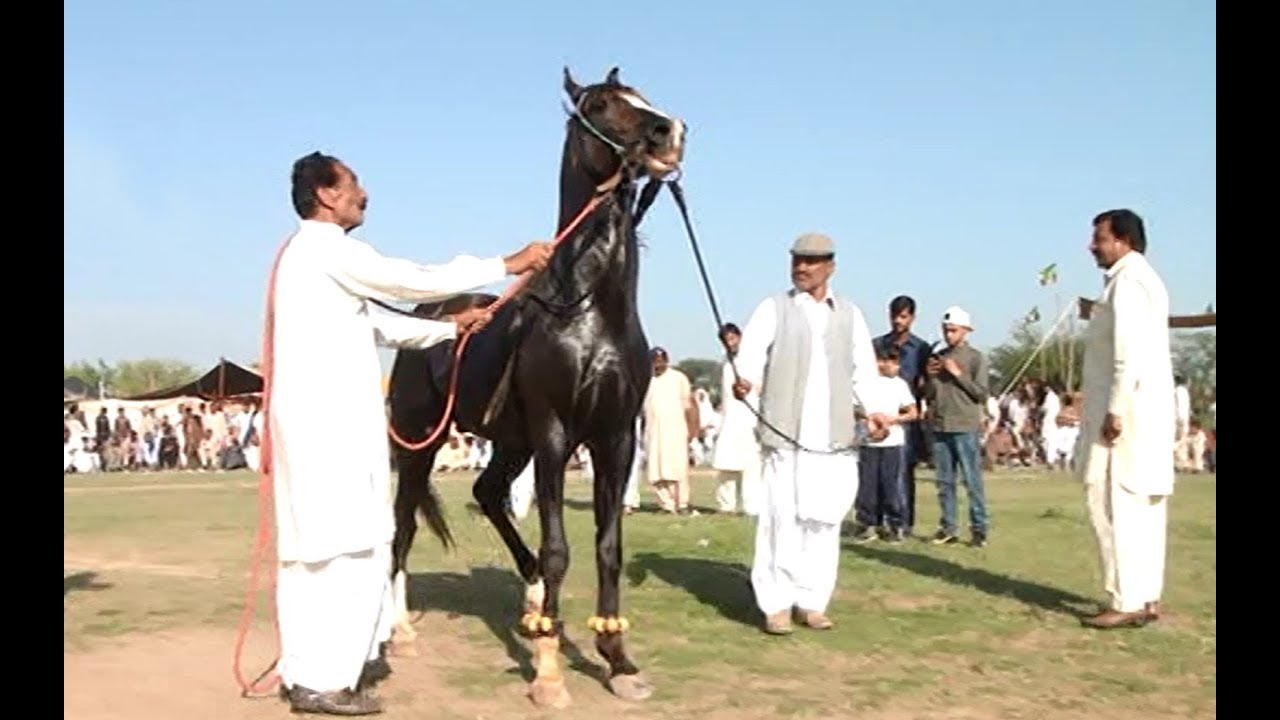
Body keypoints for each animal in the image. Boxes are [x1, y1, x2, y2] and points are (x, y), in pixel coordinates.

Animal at [384, 66, 685, 709]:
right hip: (421, 445)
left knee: (488, 493)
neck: (590, 312)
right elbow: (558, 549)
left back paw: (531, 604)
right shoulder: (554, 434)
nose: (668, 132)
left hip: (508, 442)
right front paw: (548, 673)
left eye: (642, 95)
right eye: (600, 105)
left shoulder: (614, 437)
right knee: (402, 530)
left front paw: (617, 659)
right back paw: (399, 631)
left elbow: (606, 547)